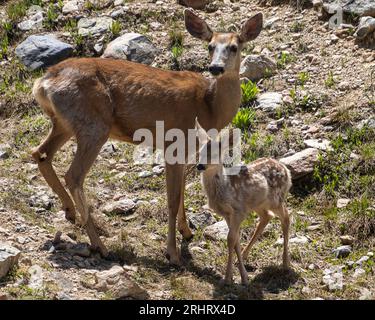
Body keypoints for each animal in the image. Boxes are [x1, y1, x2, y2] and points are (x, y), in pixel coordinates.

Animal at [31, 10, 264, 264]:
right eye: (210, 46)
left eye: (234, 47)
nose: (215, 68)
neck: (209, 108)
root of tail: (43, 82)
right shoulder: (174, 144)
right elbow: (172, 200)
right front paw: (173, 253)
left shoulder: (186, 152)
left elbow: (181, 193)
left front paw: (186, 232)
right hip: (93, 126)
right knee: (73, 175)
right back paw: (100, 246)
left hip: (65, 124)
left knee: (40, 153)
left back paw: (70, 212)